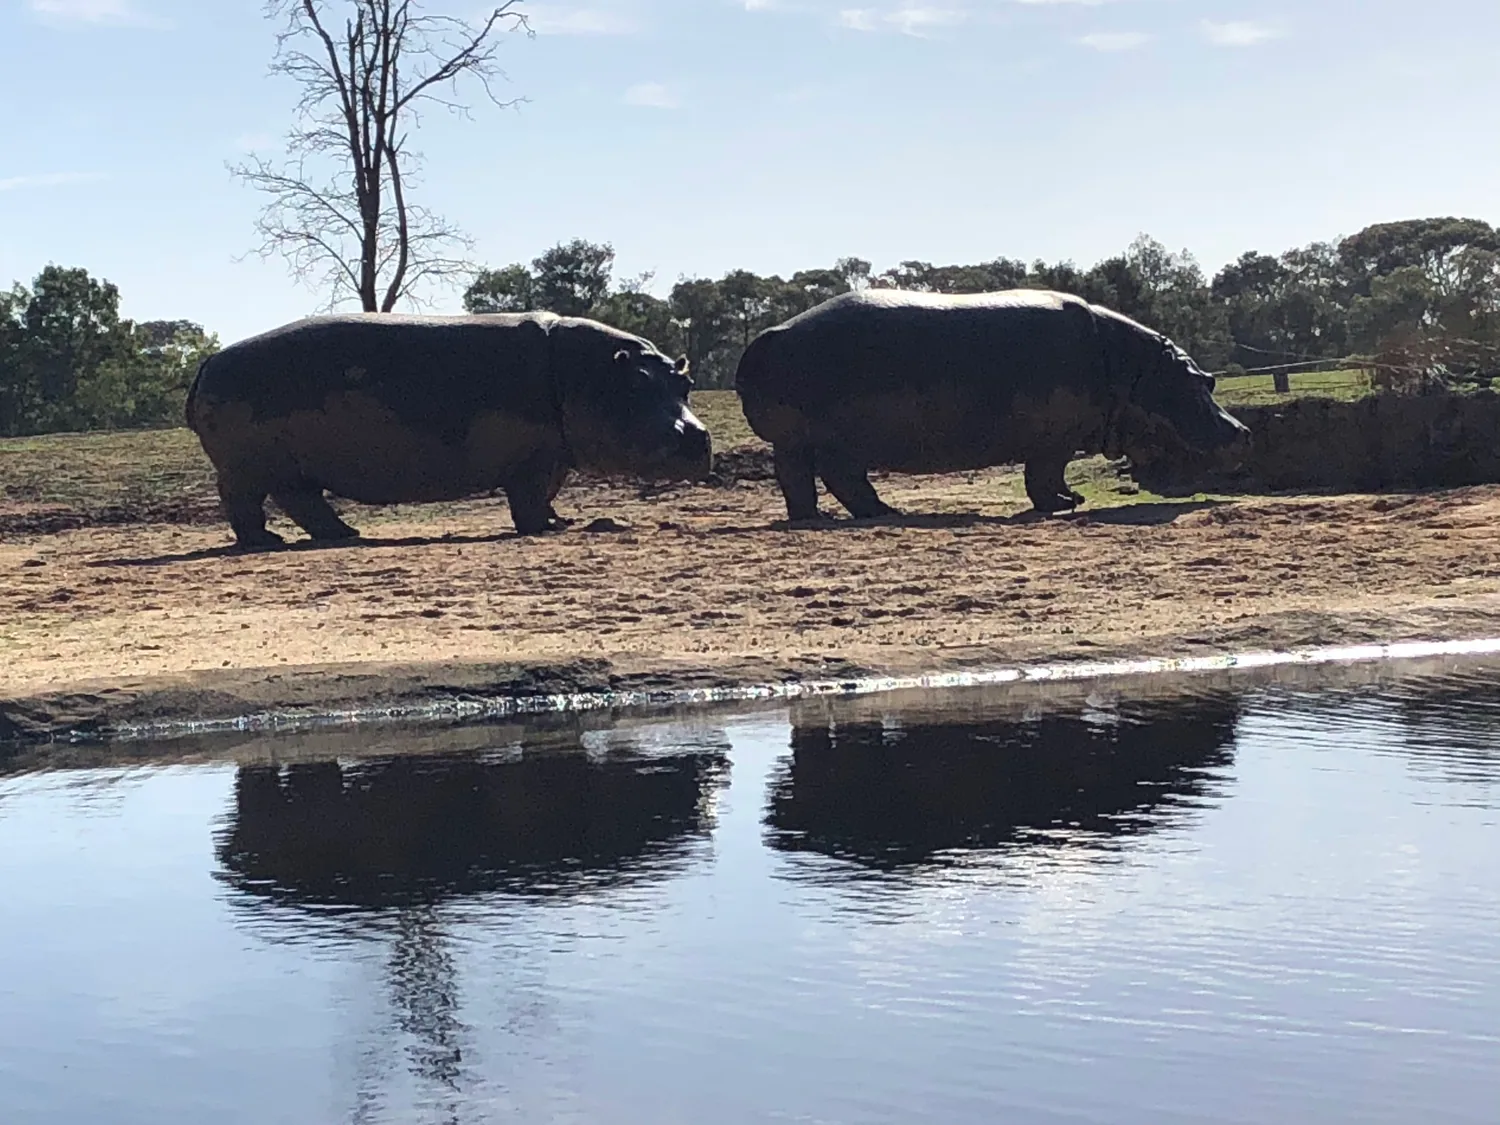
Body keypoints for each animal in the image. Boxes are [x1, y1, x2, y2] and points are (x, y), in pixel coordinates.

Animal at [186, 313, 712, 546]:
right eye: (637, 385)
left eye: (685, 382)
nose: (698, 436)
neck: (589, 374)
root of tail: (207, 364)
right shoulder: (533, 460)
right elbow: (528, 498)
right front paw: (544, 529)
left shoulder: (556, 457)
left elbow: (548, 494)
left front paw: (560, 522)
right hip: (249, 467)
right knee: (248, 503)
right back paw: (269, 542)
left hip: (283, 468)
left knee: (302, 503)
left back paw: (346, 533)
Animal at [734, 289, 1250, 521]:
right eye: (1200, 383)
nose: (1244, 432)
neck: (1135, 370)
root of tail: (770, 334)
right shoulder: (1055, 440)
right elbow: (1044, 476)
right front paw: (1068, 504)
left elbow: (1044, 476)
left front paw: (1070, 501)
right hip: (819, 439)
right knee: (826, 477)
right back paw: (874, 514)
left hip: (814, 441)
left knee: (812, 480)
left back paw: (843, 515)